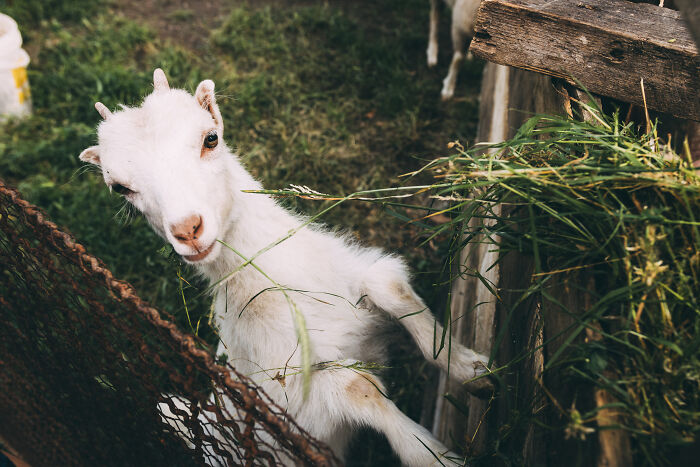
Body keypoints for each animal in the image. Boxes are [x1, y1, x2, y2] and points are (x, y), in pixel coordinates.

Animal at [79, 69, 491, 465]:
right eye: (120, 188)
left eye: (210, 139)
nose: (188, 230)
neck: (283, 289)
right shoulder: (295, 393)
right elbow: (359, 388)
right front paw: (438, 458)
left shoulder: (353, 277)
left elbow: (391, 288)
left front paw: (475, 372)